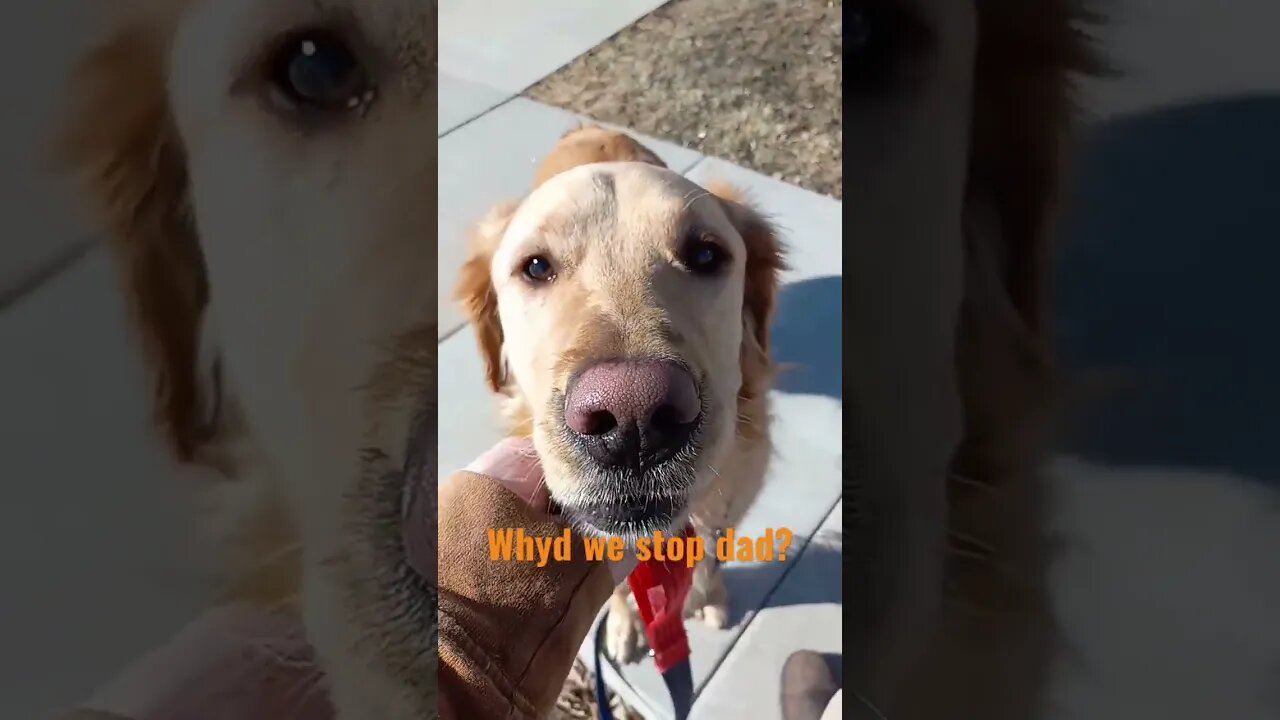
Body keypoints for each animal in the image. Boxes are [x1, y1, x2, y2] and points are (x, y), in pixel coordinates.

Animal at [455, 126, 783, 661]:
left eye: (706, 255)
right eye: (536, 267)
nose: (635, 417)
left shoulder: (730, 501)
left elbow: (713, 552)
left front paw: (710, 597)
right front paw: (628, 624)